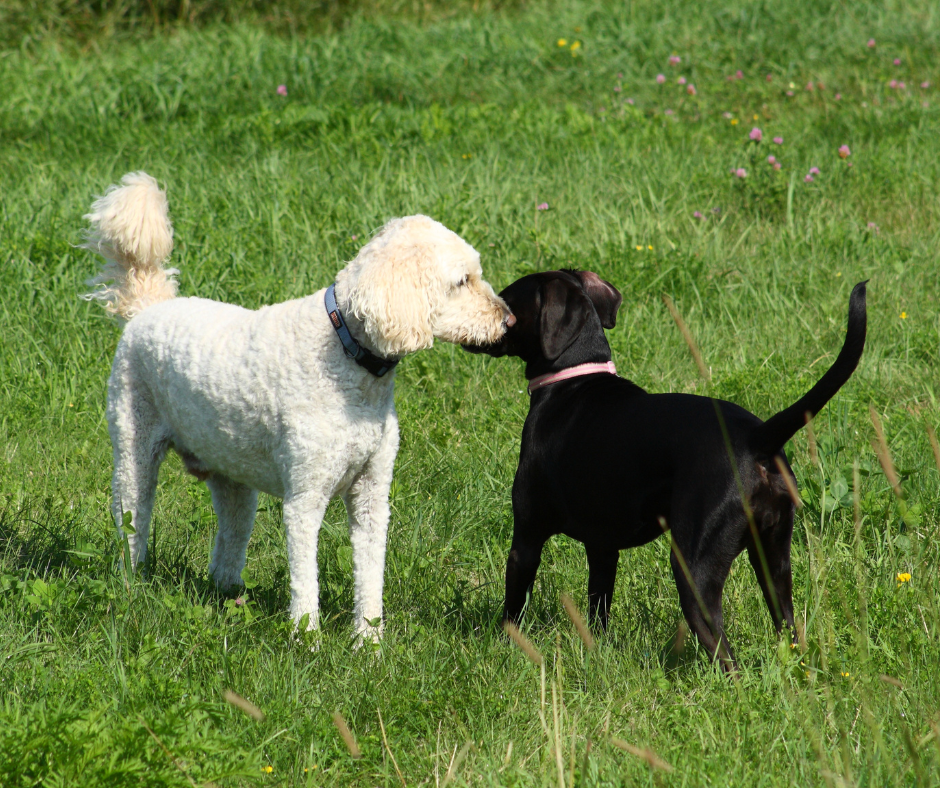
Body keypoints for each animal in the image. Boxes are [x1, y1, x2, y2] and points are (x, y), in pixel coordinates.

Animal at [81, 172, 510, 640]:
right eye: (462, 281)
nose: (509, 321)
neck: (346, 354)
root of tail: (150, 306)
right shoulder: (305, 497)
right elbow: (306, 577)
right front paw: (307, 639)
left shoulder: (372, 495)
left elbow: (370, 576)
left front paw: (369, 641)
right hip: (133, 450)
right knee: (132, 521)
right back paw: (131, 586)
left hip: (232, 473)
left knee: (230, 537)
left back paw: (229, 593)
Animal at [462, 270, 868, 672]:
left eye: (506, 299)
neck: (572, 378)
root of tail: (758, 437)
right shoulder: (603, 548)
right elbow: (598, 610)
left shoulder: (526, 539)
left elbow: (513, 608)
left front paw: (505, 650)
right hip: (774, 560)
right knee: (788, 627)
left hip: (694, 568)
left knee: (725, 654)